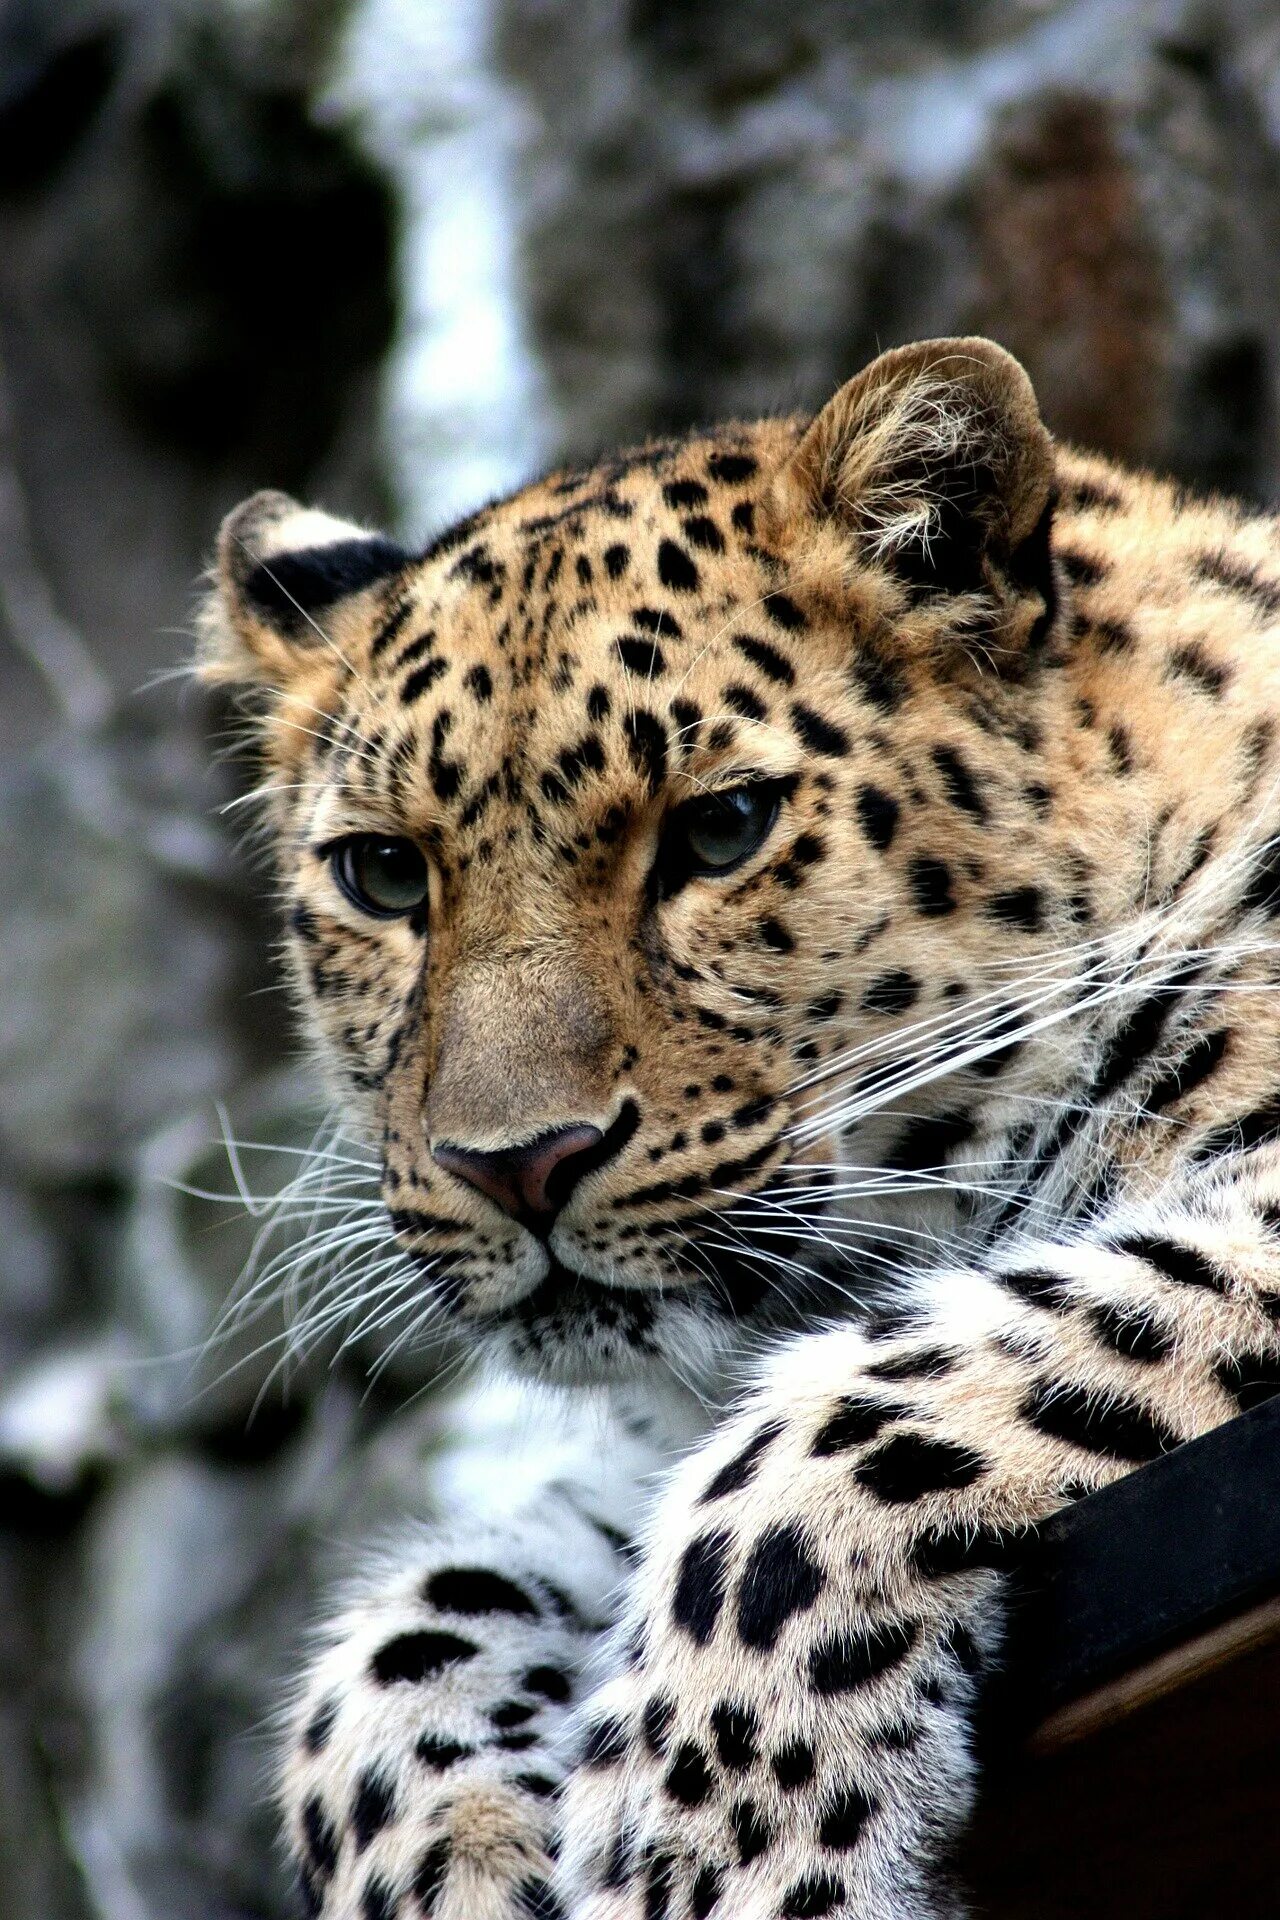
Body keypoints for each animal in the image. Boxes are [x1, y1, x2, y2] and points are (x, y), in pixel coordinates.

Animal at [195, 334, 1280, 1920]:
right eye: (384, 875)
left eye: (721, 832)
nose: (513, 1164)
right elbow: (407, 1629)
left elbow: (831, 1433)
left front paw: (711, 1852)